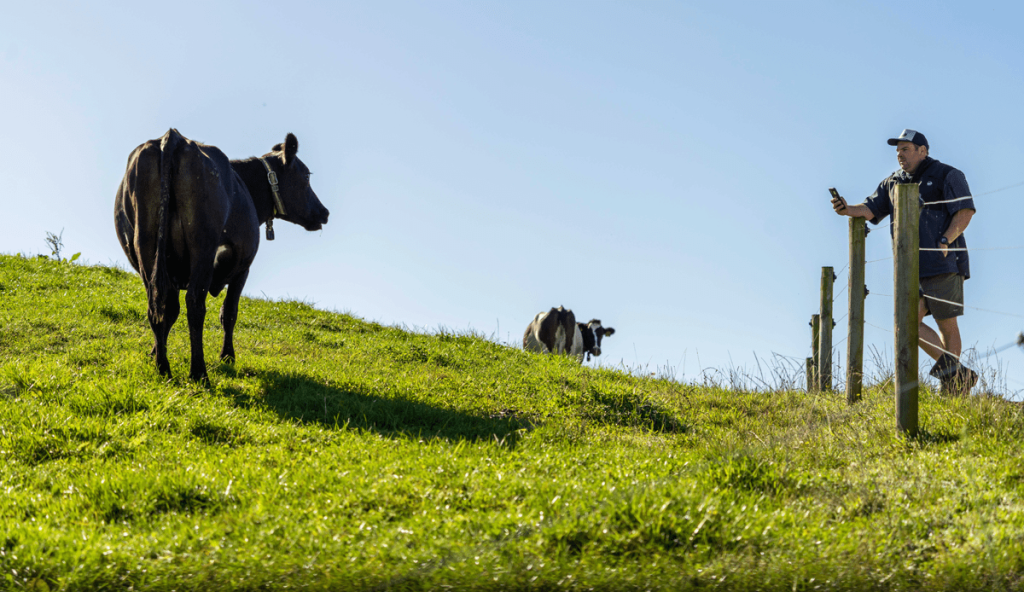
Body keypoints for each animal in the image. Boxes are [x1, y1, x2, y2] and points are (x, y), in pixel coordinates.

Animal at [117, 127, 331, 381]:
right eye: (307, 176)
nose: (324, 212)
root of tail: (174, 137)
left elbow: (168, 311)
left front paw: (154, 352)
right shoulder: (243, 267)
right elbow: (228, 312)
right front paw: (227, 356)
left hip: (147, 247)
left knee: (157, 304)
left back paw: (163, 369)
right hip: (202, 247)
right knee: (195, 304)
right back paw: (199, 373)